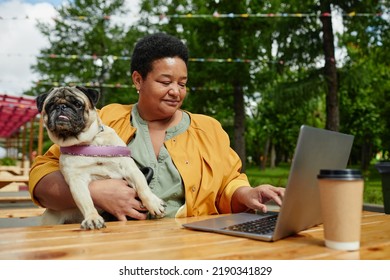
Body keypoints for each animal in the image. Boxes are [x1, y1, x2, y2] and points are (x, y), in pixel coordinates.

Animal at [35, 86, 166, 230]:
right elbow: (86, 202)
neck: (89, 143)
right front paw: (92, 218)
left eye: (77, 104)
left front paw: (153, 203)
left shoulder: (130, 169)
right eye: (50, 105)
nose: (61, 106)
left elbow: (143, 187)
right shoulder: (77, 180)